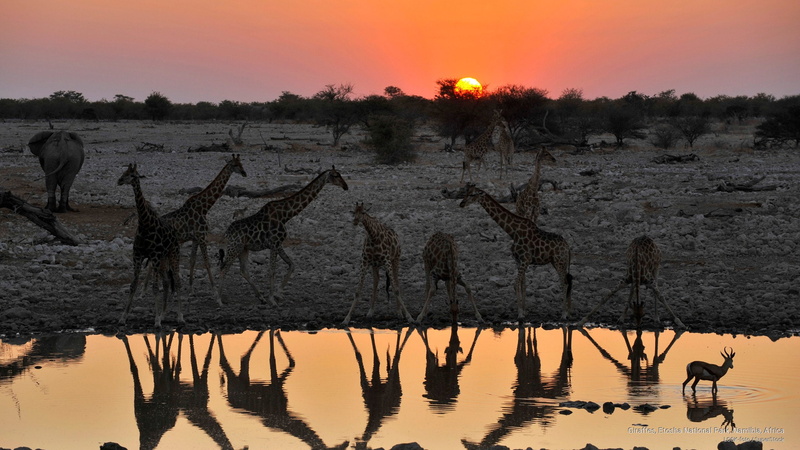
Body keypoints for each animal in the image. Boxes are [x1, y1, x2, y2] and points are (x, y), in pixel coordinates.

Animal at [116, 163, 182, 327]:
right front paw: (123, 317)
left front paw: (157, 321)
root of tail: (174, 235)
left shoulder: (154, 256)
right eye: (124, 172)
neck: (145, 224)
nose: (119, 180)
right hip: (163, 260)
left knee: (177, 281)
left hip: (173, 255)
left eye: (133, 175)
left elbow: (154, 287)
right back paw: (164, 315)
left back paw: (180, 317)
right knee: (166, 282)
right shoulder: (138, 255)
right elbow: (133, 285)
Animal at [159, 154, 247, 300]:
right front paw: (214, 290)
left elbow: (192, 261)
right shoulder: (201, 236)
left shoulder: (195, 238)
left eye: (241, 163)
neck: (204, 207)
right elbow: (206, 262)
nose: (244, 173)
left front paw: (191, 289)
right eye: (235, 165)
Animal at [217, 166, 348, 306]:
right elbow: (272, 270)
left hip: (243, 249)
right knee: (224, 269)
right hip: (235, 248)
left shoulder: (278, 244)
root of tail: (226, 233)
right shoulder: (274, 244)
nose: (345, 186)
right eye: (335, 175)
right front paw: (272, 299)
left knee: (243, 271)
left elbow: (292, 265)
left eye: (340, 174)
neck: (286, 215)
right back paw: (219, 299)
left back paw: (260, 297)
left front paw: (278, 294)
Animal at [459, 184, 573, 321]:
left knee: (564, 283)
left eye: (472, 194)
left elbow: (515, 284)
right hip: (556, 262)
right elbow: (522, 285)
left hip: (560, 261)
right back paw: (568, 312)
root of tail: (567, 247)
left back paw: (564, 314)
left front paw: (520, 314)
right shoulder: (518, 260)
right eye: (466, 192)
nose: (461, 203)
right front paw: (524, 311)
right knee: (568, 281)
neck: (513, 232)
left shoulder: (526, 259)